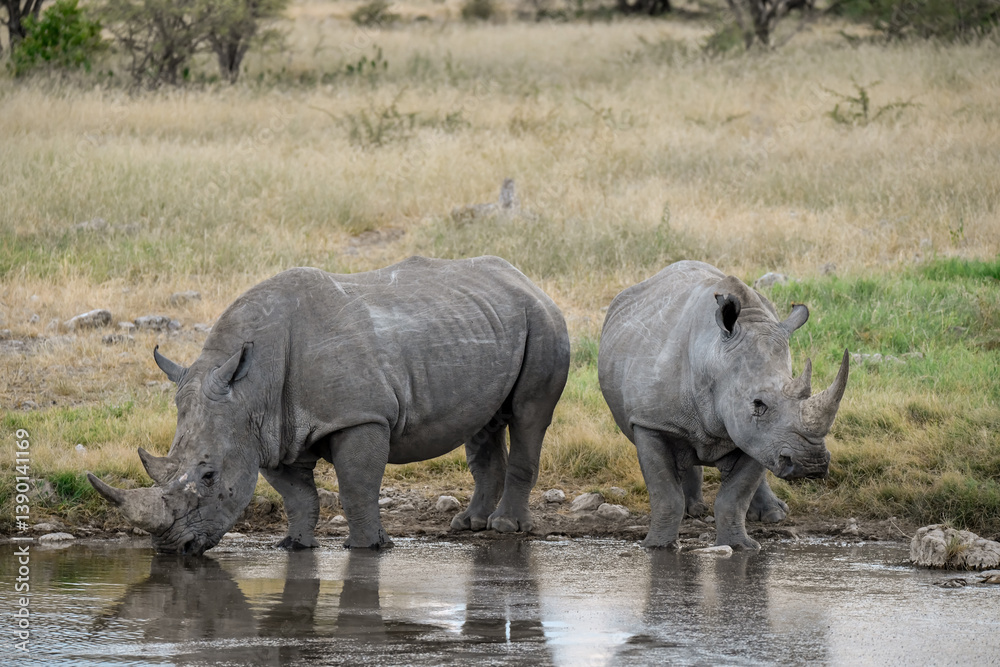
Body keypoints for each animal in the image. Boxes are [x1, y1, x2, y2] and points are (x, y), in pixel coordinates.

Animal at [88, 256, 570, 555]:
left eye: (209, 476)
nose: (171, 549)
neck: (250, 387)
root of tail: (527, 279)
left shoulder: (359, 417)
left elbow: (357, 488)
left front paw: (368, 548)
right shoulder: (267, 432)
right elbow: (298, 496)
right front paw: (294, 546)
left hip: (544, 320)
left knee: (528, 416)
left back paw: (504, 528)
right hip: (483, 323)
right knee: (482, 425)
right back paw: (468, 526)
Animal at [598, 260, 849, 550]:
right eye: (758, 404)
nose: (811, 464)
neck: (714, 360)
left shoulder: (759, 437)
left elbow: (735, 497)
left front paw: (741, 546)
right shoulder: (650, 422)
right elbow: (665, 494)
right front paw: (657, 547)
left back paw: (773, 515)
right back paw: (693, 512)